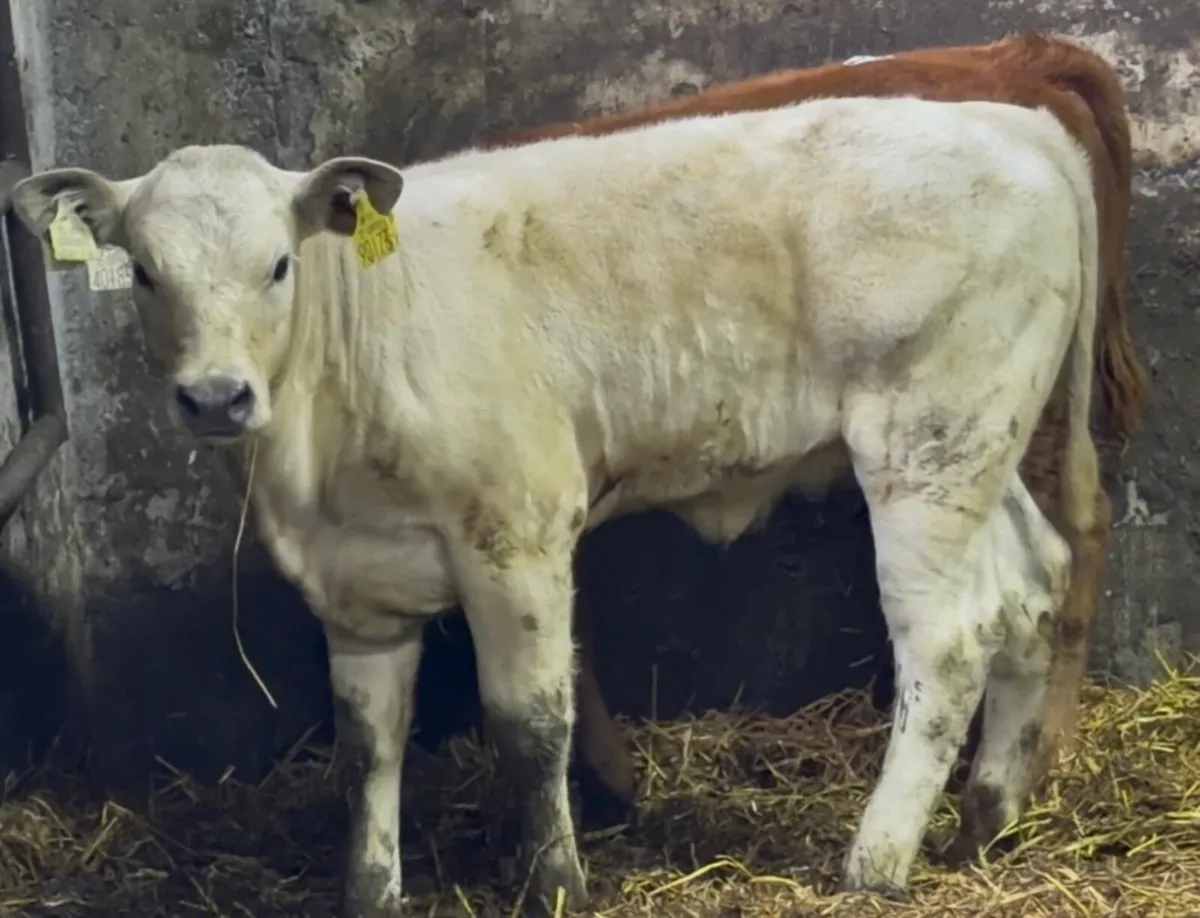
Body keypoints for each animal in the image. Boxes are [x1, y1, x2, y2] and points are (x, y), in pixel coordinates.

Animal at [11, 93, 1100, 916]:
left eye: (277, 264)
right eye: (143, 273)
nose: (215, 397)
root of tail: (1013, 120)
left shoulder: (517, 530)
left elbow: (529, 723)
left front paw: (557, 885)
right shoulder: (356, 583)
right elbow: (366, 745)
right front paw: (370, 890)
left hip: (926, 443)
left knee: (947, 645)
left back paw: (875, 862)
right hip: (982, 449)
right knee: (1034, 587)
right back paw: (987, 818)